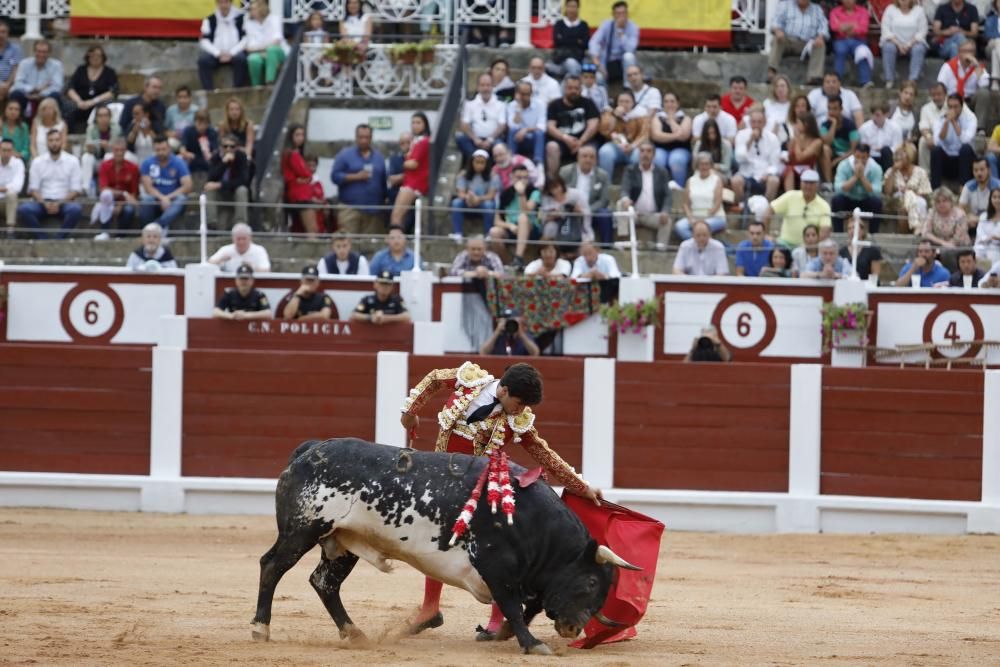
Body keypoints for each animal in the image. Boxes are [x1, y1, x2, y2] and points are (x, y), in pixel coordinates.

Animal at [254, 440, 636, 656]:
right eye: (590, 582)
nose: (574, 628)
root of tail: (309, 450)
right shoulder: (496, 566)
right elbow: (514, 606)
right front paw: (531, 644)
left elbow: (527, 607)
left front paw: (506, 635)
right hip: (301, 530)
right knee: (272, 566)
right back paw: (261, 628)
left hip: (343, 542)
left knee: (325, 582)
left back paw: (355, 634)